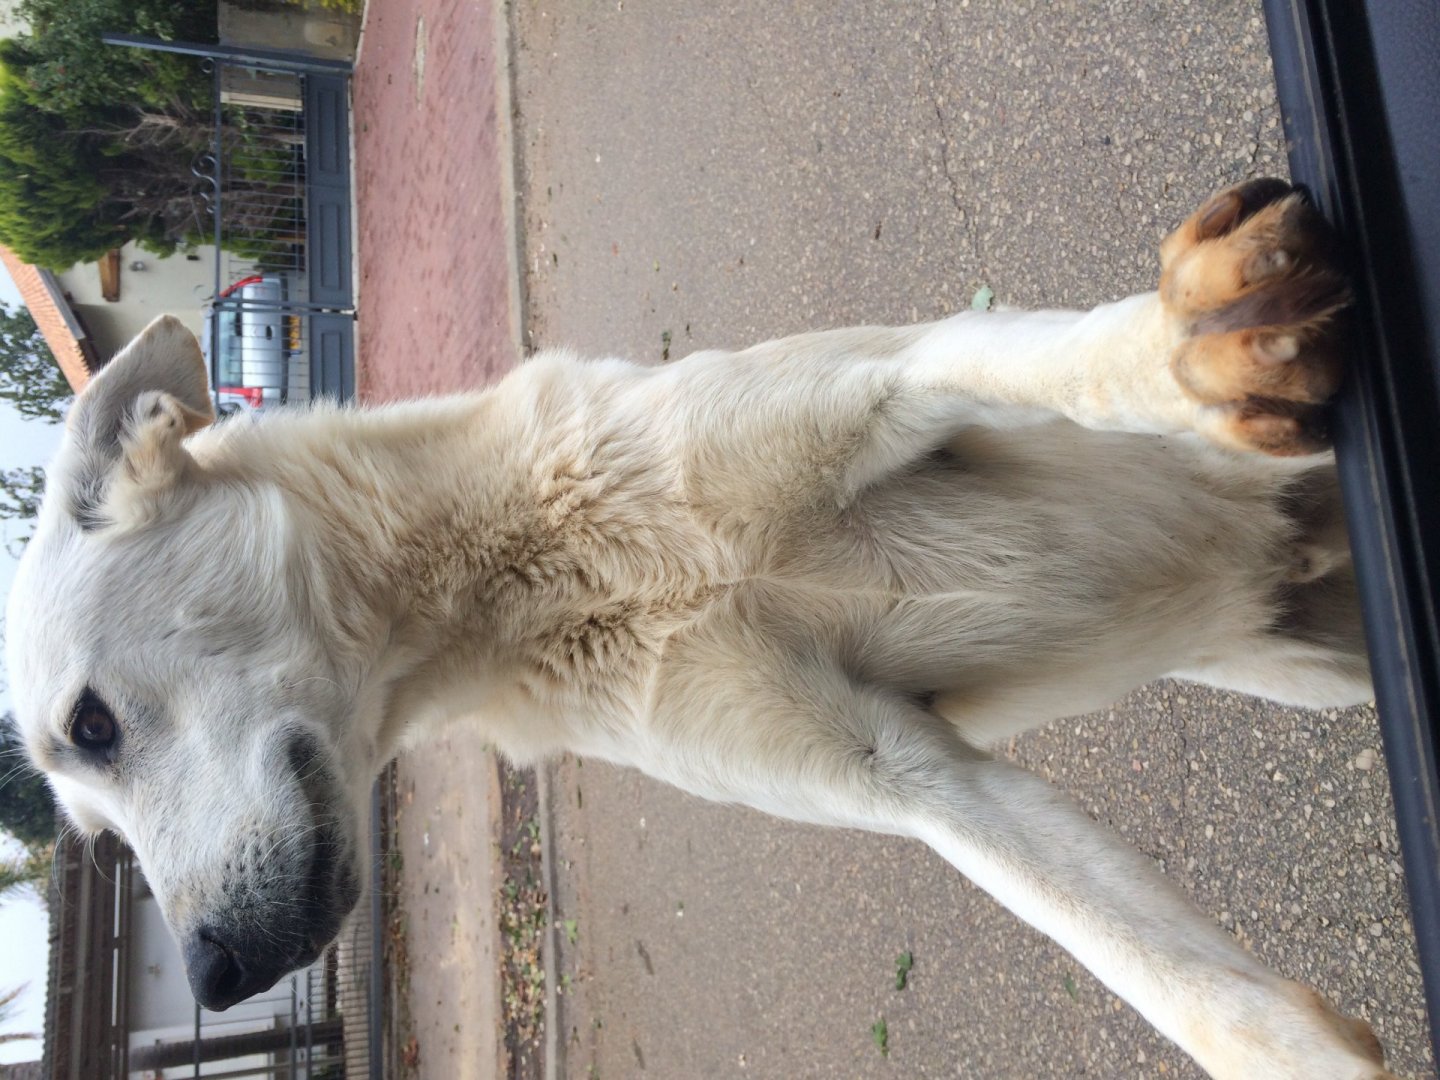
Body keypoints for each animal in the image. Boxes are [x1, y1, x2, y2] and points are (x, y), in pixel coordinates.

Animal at [7, 179, 1397, 1078]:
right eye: (87, 830)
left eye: (93, 725)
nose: (211, 976)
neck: (541, 580)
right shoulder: (910, 779)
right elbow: (1195, 994)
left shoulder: (889, 381)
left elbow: (1044, 360)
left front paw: (1188, 342)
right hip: (1309, 663)